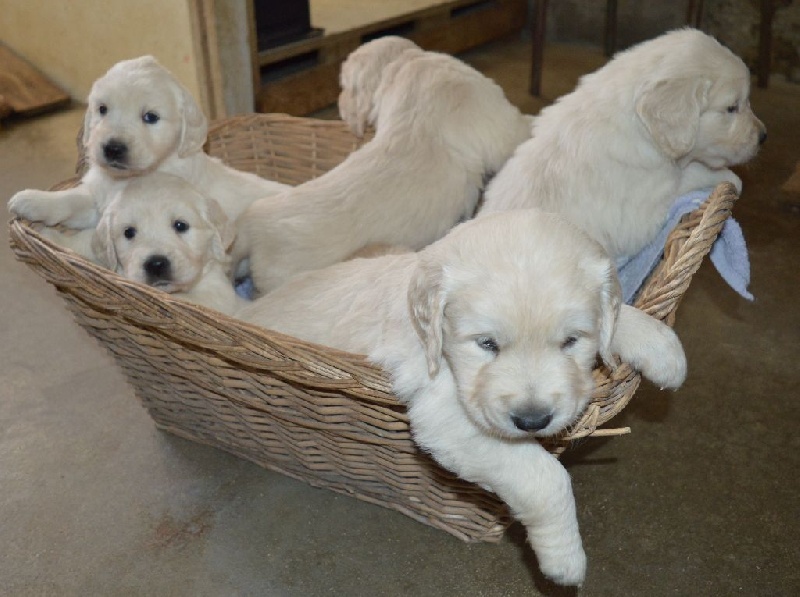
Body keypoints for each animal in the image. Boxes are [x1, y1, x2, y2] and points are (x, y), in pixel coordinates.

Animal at [7, 54, 290, 264]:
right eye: (102, 109)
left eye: (150, 117)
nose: (112, 148)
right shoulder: (100, 200)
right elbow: (73, 199)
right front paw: (31, 200)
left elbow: (88, 240)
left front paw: (55, 240)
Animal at [234, 208, 684, 584]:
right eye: (486, 344)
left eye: (572, 340)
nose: (533, 420)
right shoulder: (447, 418)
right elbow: (546, 477)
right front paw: (564, 559)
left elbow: (618, 315)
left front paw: (663, 348)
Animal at [478, 28, 764, 260]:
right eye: (731, 107)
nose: (764, 136)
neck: (640, 129)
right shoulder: (647, 203)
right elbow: (694, 174)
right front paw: (731, 179)